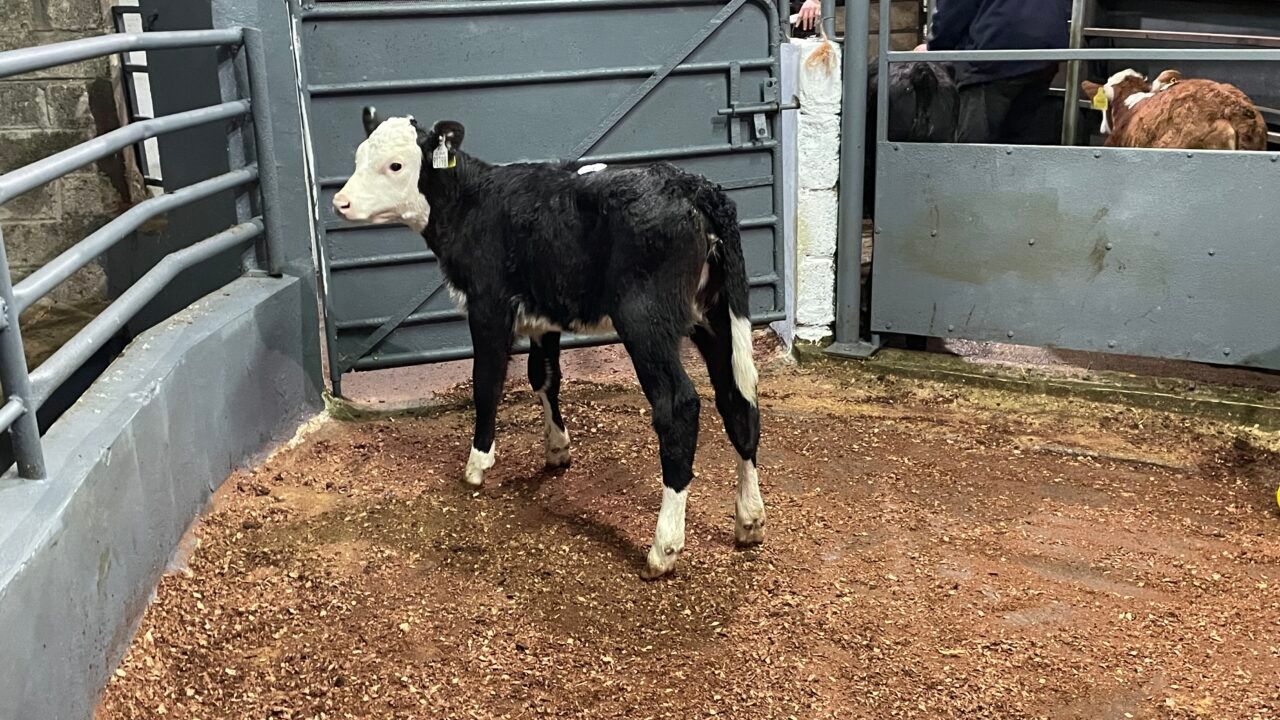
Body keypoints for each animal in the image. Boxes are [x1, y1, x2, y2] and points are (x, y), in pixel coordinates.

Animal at [332, 108, 766, 580]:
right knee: (737, 399)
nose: (341, 202)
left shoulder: (488, 306)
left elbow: (486, 382)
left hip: (646, 321)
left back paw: (663, 547)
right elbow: (543, 376)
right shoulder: (542, 316)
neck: (474, 204)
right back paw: (749, 519)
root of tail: (694, 186)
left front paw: (477, 464)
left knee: (679, 406)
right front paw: (557, 448)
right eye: (358, 155)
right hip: (717, 315)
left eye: (395, 165)